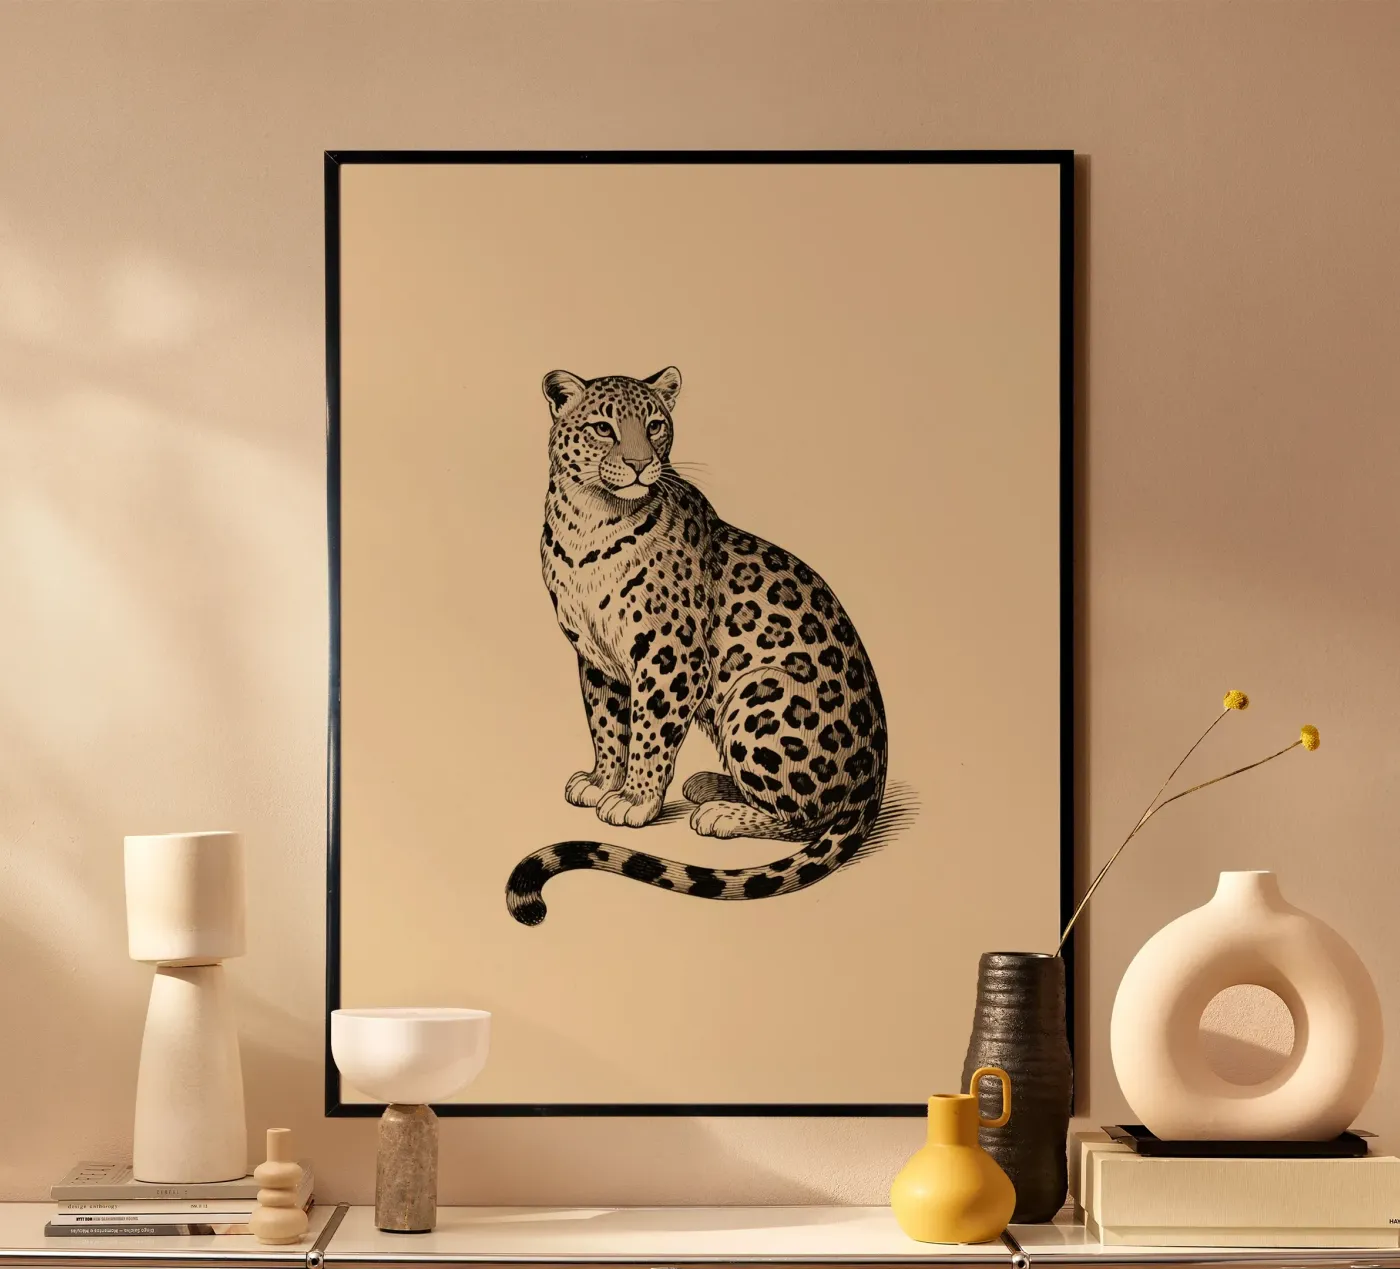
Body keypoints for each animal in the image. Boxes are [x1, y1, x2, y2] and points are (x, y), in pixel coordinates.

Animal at [506, 366, 888, 926]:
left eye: (656, 425)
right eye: (603, 428)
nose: (640, 464)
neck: (588, 521)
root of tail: (873, 782)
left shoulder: (672, 658)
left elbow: (649, 734)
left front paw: (635, 801)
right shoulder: (595, 659)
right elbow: (607, 726)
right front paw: (602, 780)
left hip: (761, 695)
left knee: (806, 818)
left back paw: (721, 812)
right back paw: (710, 783)